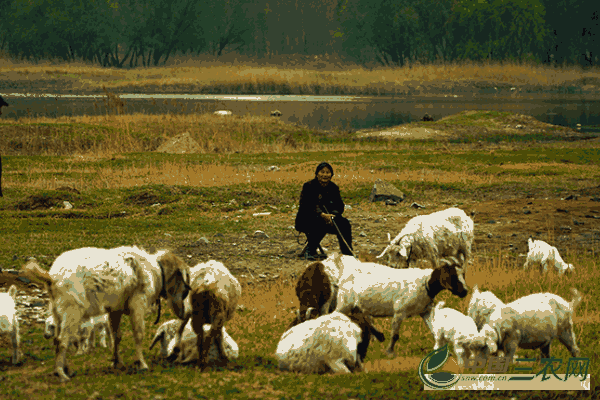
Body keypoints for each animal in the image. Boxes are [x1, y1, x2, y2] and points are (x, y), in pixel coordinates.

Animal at [23, 244, 190, 382]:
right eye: (183, 284)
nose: (183, 313)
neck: (155, 272)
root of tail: (52, 278)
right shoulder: (137, 305)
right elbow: (138, 334)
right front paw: (141, 364)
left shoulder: (115, 310)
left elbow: (117, 336)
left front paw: (118, 362)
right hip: (72, 311)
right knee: (62, 341)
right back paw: (61, 374)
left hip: (57, 313)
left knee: (58, 339)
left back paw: (67, 369)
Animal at [332, 256, 468, 356]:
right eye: (453, 276)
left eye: (463, 275)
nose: (465, 292)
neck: (425, 283)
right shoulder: (399, 311)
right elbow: (395, 335)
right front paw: (389, 352)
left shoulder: (425, 311)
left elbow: (434, 330)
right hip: (344, 303)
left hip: (358, 305)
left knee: (363, 318)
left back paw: (379, 336)